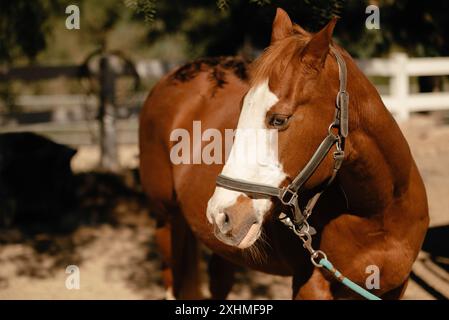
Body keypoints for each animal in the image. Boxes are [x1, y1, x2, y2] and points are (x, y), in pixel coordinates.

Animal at [139, 8, 428, 300]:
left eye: (279, 119)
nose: (220, 213)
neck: (379, 214)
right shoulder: (310, 285)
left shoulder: (394, 287)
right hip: (167, 221)